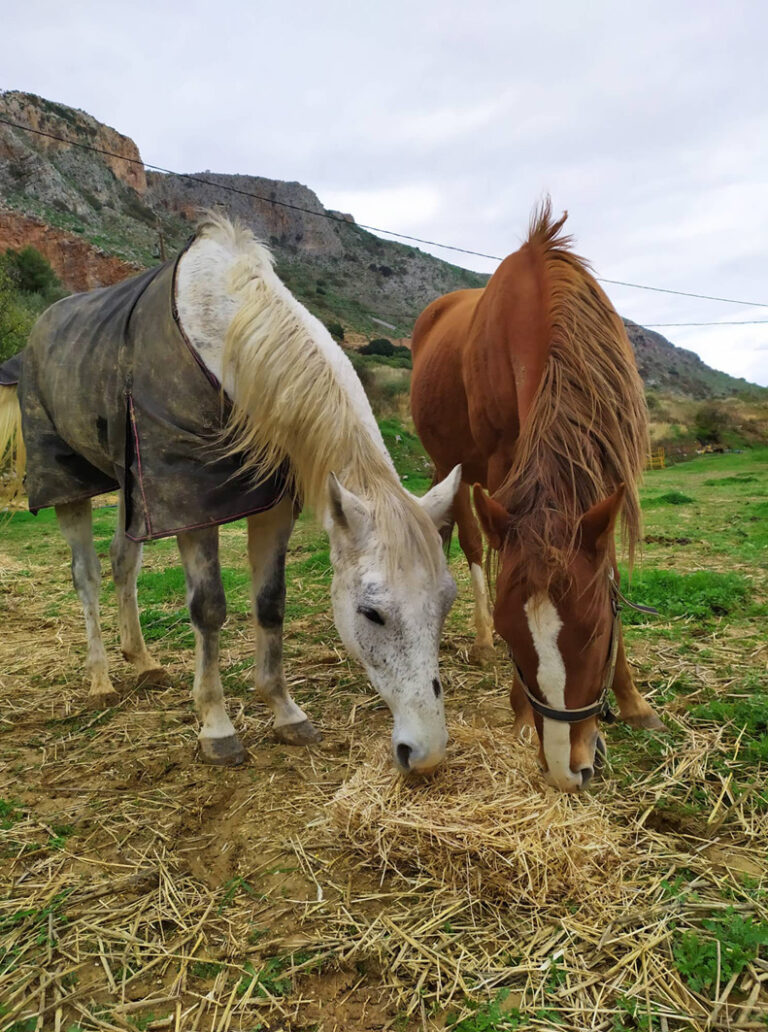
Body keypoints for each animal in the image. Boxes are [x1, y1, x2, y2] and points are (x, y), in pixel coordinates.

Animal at [0, 215, 458, 776]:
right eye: (371, 613)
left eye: (447, 601)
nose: (426, 753)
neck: (227, 336)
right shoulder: (191, 507)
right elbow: (209, 609)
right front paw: (216, 727)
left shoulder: (273, 508)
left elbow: (270, 604)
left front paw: (285, 713)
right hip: (69, 486)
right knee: (85, 575)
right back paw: (101, 679)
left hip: (131, 488)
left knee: (122, 561)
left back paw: (143, 662)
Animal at [410, 205, 664, 792]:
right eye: (512, 635)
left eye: (595, 631)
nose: (567, 770)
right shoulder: (504, 461)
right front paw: (522, 712)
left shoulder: (604, 472)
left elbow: (608, 570)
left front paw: (633, 701)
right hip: (453, 464)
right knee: (468, 540)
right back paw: (475, 638)